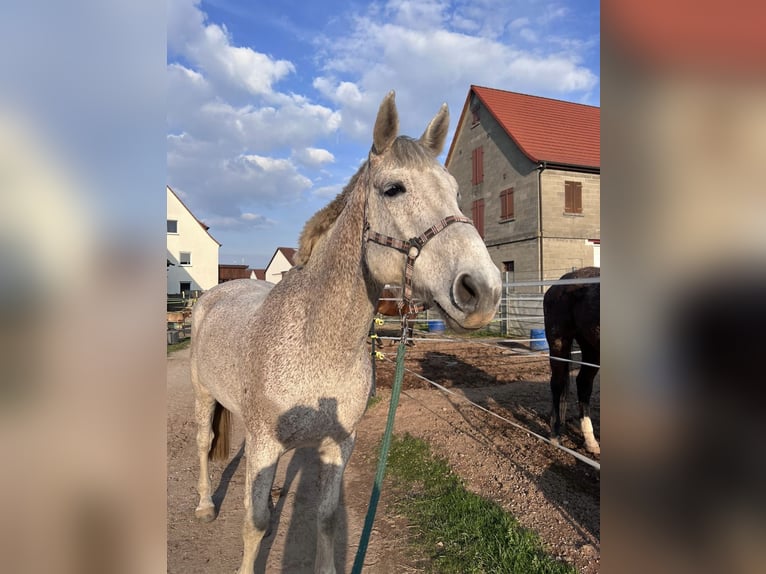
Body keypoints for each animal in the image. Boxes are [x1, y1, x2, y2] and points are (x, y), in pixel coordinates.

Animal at [190, 92, 504, 572]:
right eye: (393, 189)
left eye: (455, 192)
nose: (482, 290)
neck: (316, 342)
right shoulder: (263, 445)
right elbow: (255, 524)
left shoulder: (338, 444)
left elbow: (326, 518)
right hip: (204, 395)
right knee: (205, 442)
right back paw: (206, 505)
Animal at [544, 268, 604, 454]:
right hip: (558, 344)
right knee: (557, 384)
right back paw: (555, 435)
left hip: (592, 348)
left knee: (583, 383)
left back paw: (591, 442)